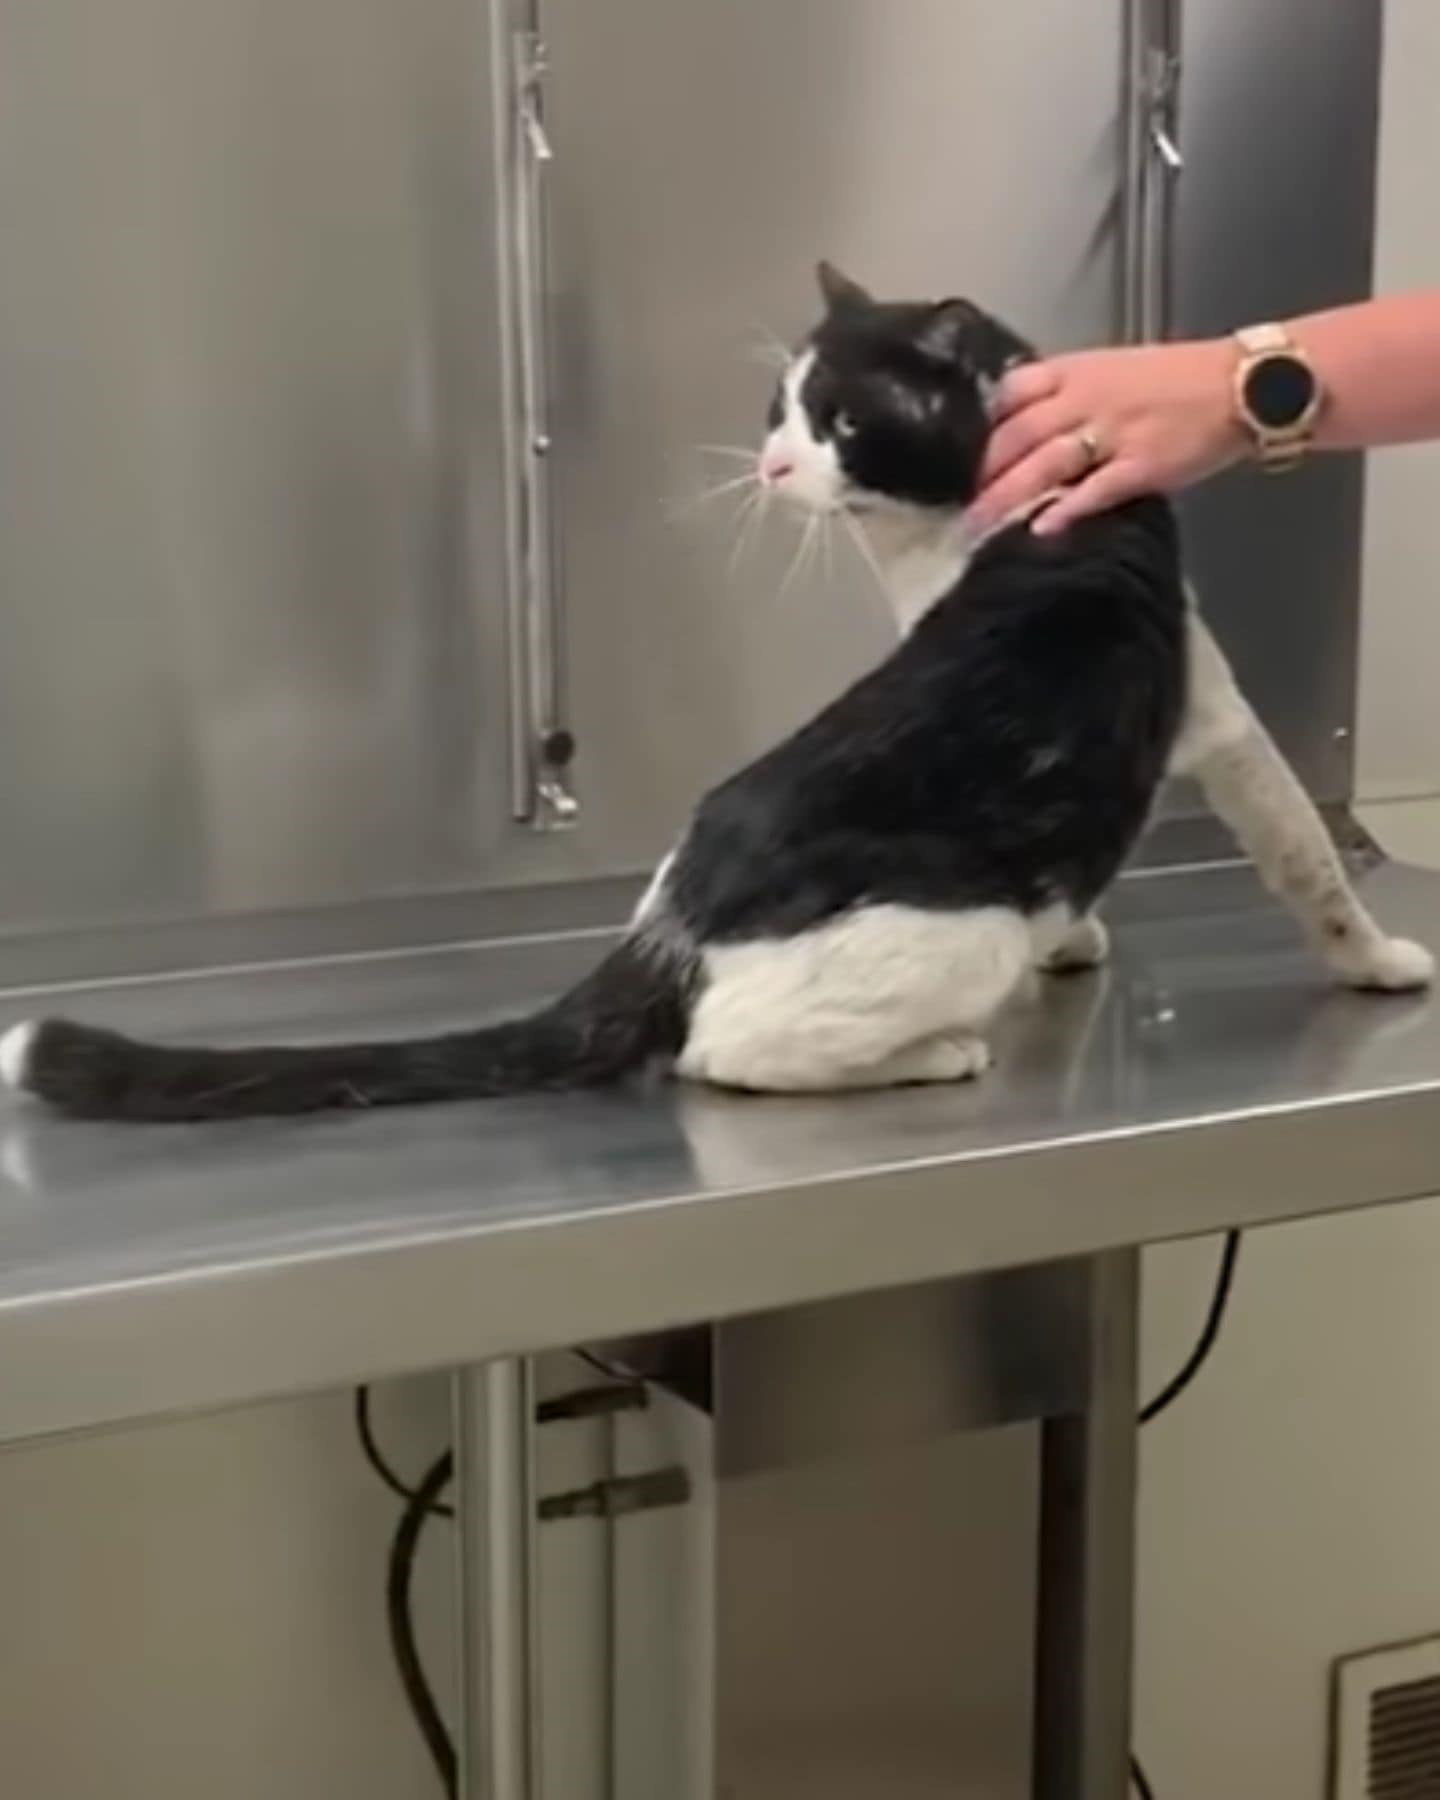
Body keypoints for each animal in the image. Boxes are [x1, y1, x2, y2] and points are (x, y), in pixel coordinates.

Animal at [5, 261, 1432, 1116]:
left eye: (840, 422)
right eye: (780, 412)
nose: (772, 467)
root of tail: (662, 931)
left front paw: (1081, 935)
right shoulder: (1219, 719)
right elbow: (1307, 858)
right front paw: (1379, 960)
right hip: (950, 928)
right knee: (724, 1055)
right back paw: (937, 1051)